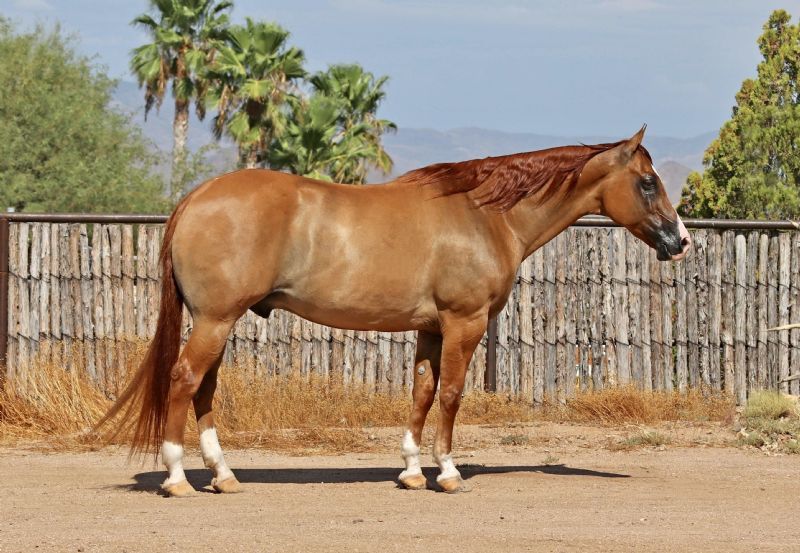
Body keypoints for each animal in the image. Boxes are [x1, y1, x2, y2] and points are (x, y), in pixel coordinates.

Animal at [97, 125, 691, 497]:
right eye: (647, 182)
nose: (680, 240)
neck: (483, 215)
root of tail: (196, 198)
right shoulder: (464, 323)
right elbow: (451, 395)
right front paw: (447, 472)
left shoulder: (431, 328)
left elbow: (422, 393)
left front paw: (410, 471)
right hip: (216, 320)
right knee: (183, 379)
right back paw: (177, 478)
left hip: (219, 323)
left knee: (205, 389)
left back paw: (222, 475)